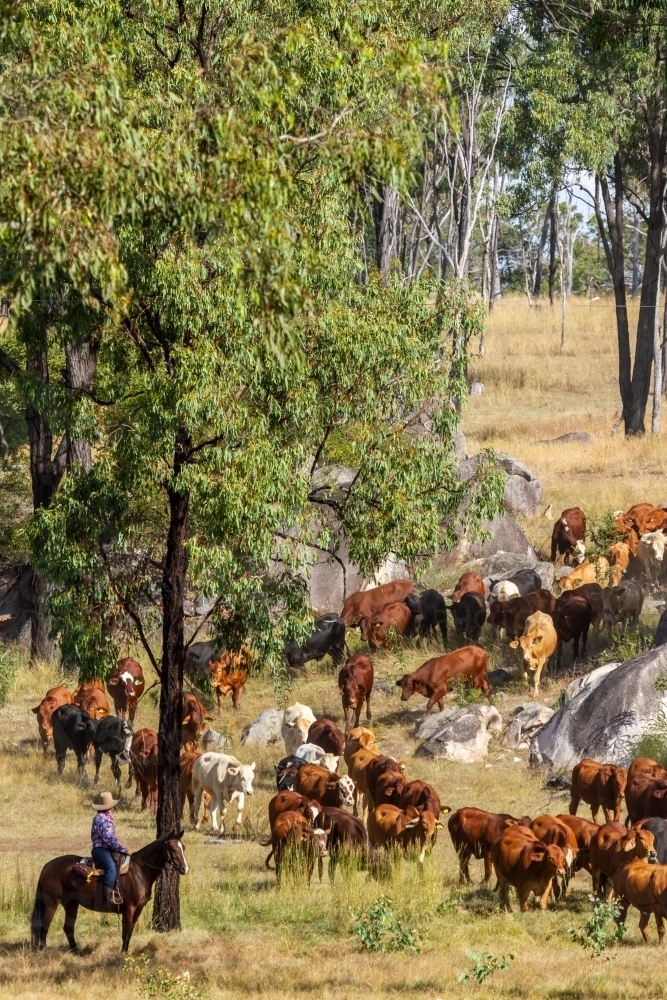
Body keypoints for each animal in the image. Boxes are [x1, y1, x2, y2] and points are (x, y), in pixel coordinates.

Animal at [30, 831, 189, 953]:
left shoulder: (138, 909)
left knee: (68, 927)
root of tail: (47, 866)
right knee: (44, 926)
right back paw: (43, 951)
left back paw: (76, 952)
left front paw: (126, 952)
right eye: (173, 849)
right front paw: (122, 954)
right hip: (51, 902)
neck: (140, 871)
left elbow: (130, 932)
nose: (185, 868)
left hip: (71, 903)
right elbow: (125, 931)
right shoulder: (129, 908)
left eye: (183, 847)